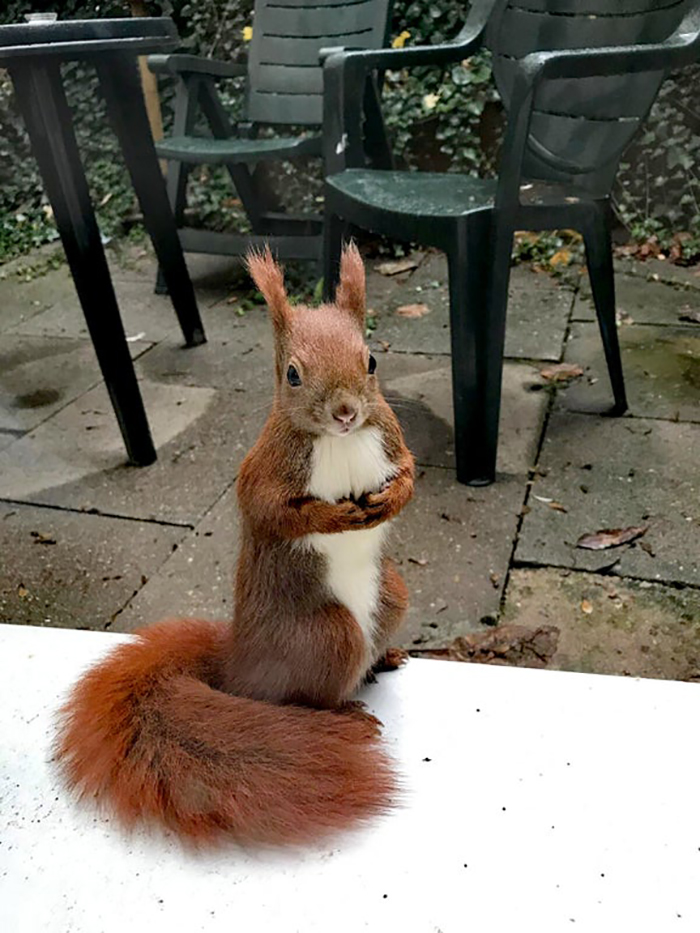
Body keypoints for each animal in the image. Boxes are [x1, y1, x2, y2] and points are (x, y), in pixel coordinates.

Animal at [57, 244, 416, 848]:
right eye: (292, 374)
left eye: (371, 361)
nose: (346, 412)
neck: (337, 441)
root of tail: (238, 661)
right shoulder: (263, 471)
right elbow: (272, 511)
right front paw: (337, 515)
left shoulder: (392, 436)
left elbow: (410, 476)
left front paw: (387, 501)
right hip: (327, 635)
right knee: (310, 695)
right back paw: (347, 714)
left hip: (392, 593)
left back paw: (384, 658)